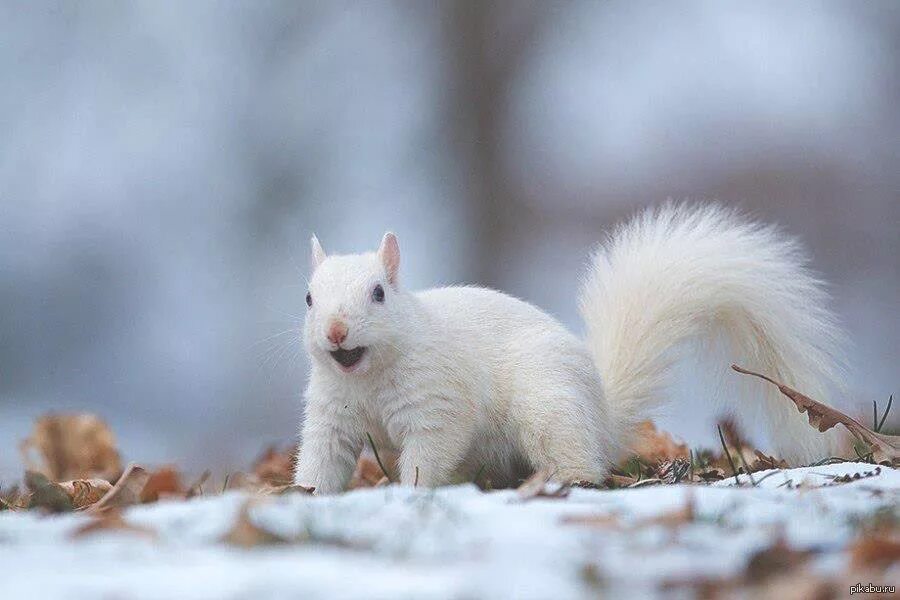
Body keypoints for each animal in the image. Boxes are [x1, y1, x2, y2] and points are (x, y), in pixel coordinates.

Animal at [292, 202, 848, 492]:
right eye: (309, 298)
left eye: (378, 294)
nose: (336, 331)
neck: (366, 378)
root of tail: (602, 417)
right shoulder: (331, 414)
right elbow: (322, 457)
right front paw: (308, 493)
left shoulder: (437, 402)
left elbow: (430, 451)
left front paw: (408, 489)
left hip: (548, 405)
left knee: (578, 458)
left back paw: (566, 480)